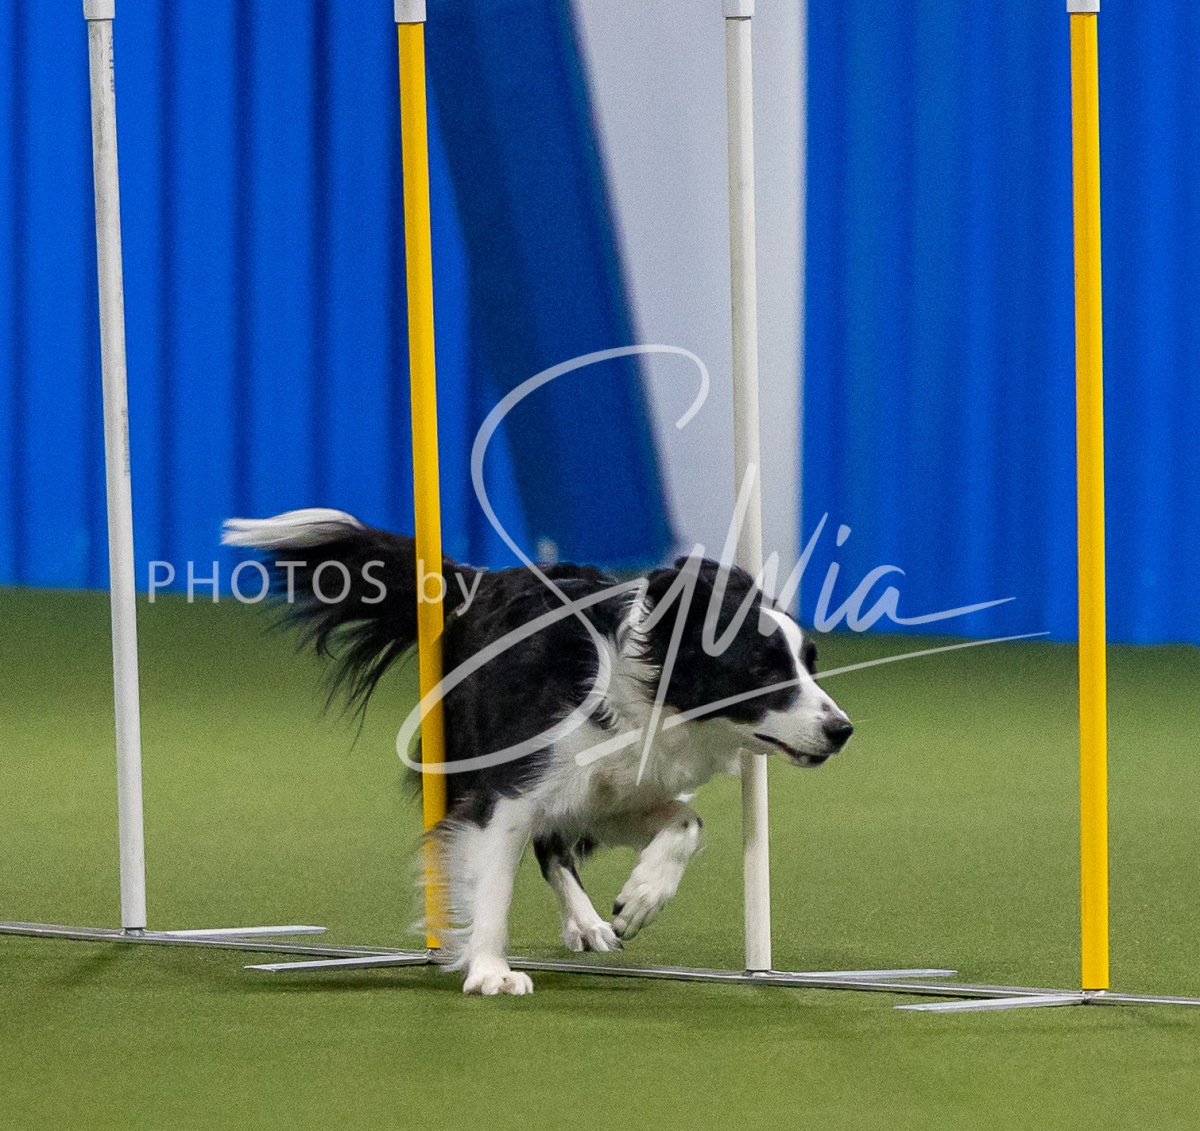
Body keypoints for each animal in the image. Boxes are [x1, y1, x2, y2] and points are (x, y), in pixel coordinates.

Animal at [222, 508, 853, 995]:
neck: (643, 696)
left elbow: (687, 823)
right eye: (763, 670)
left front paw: (642, 898)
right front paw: (488, 970)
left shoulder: (617, 788)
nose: (842, 729)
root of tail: (475, 582)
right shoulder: (510, 787)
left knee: (556, 845)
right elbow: (494, 880)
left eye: (810, 662)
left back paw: (588, 922)